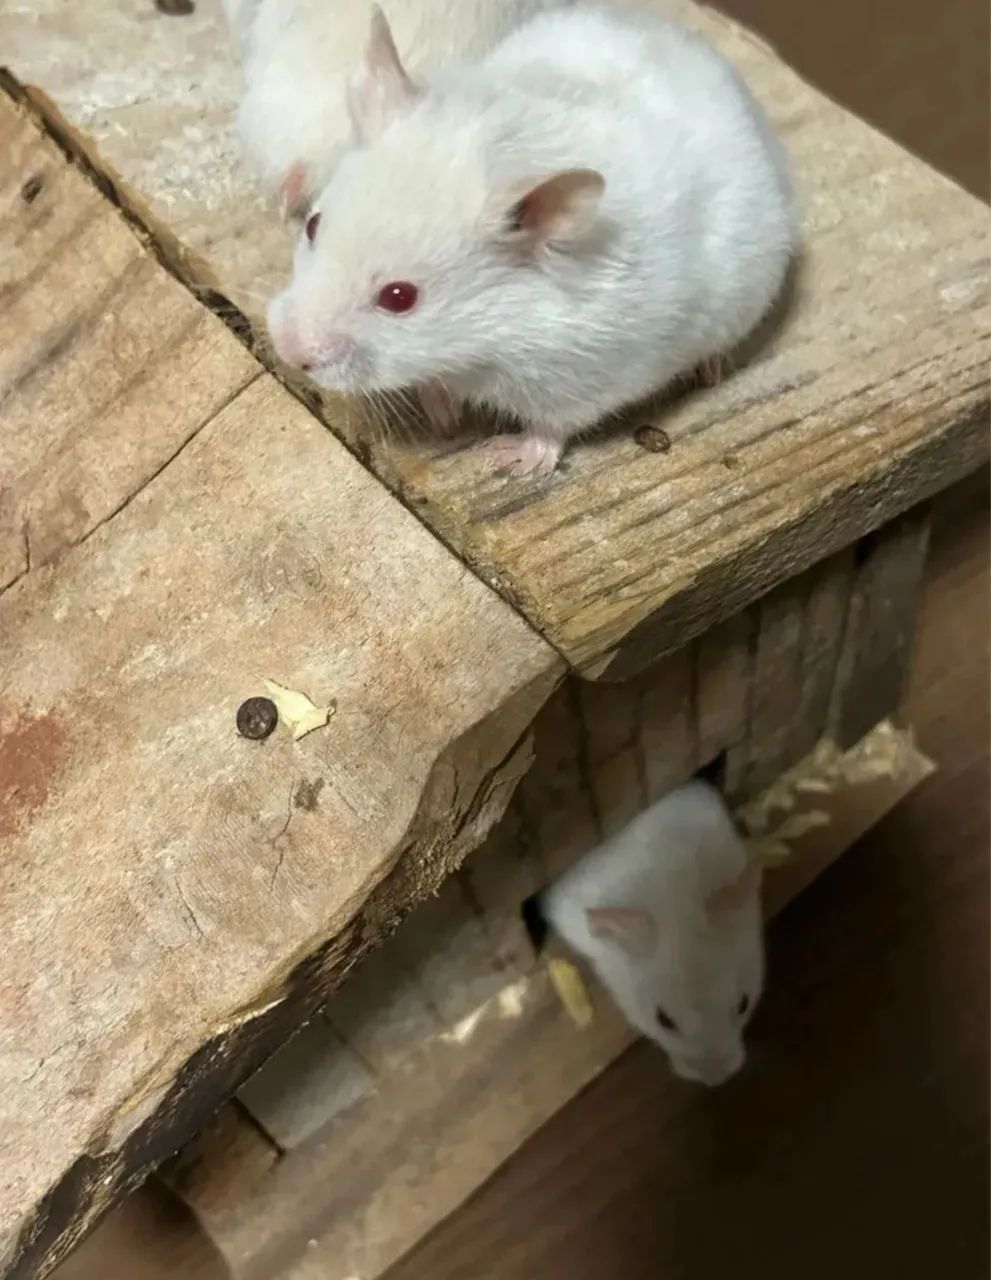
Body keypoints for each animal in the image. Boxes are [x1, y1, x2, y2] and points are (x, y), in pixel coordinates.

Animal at [267, 4, 796, 473]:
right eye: (312, 226)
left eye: (400, 297)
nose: (289, 351)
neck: (487, 343)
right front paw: (444, 416)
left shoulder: (583, 381)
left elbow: (552, 429)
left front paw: (506, 460)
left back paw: (709, 370)